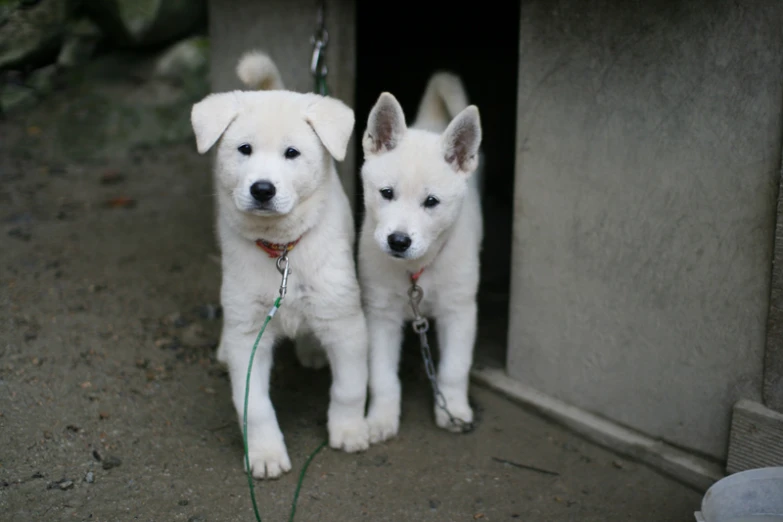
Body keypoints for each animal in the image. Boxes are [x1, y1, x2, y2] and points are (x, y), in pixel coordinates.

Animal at [190, 49, 374, 480]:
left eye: (292, 153)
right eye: (244, 149)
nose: (262, 189)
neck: (282, 248)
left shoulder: (346, 322)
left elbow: (349, 387)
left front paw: (349, 431)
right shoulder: (248, 335)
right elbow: (253, 406)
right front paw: (265, 454)